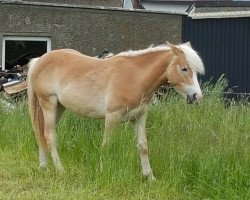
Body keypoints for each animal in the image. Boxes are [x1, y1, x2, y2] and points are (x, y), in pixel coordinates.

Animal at [27, 41, 204, 180]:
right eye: (184, 68)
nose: (197, 96)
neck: (135, 76)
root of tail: (39, 60)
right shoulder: (112, 117)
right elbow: (107, 145)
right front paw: (101, 171)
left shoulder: (139, 116)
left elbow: (143, 145)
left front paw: (149, 176)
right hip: (48, 104)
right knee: (50, 137)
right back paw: (60, 169)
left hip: (59, 108)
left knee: (42, 133)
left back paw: (44, 167)